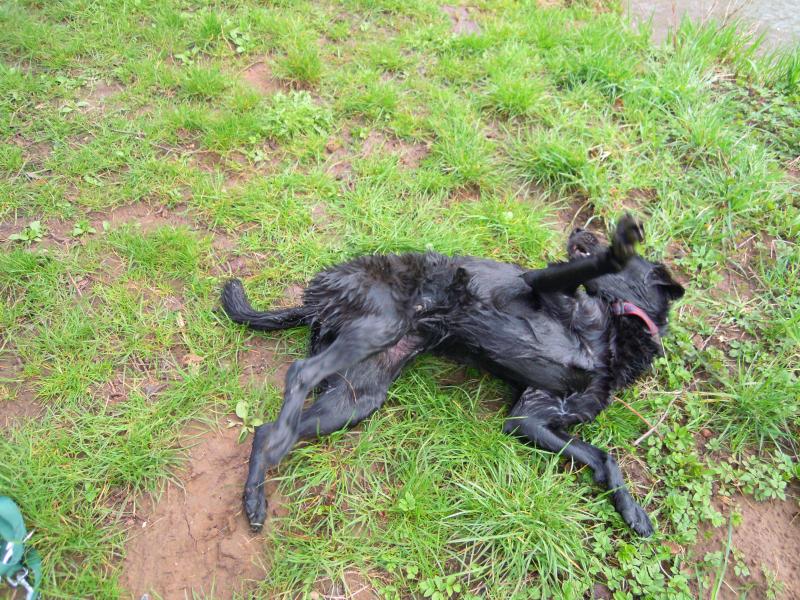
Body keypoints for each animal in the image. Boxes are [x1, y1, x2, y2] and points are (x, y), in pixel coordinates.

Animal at [221, 215, 684, 536]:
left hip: (355, 397)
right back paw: (275, 453)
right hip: (381, 323)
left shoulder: (531, 418)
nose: (579, 230)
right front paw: (621, 246)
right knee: (298, 375)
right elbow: (587, 268)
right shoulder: (543, 282)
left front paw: (632, 512)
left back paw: (255, 498)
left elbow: (603, 457)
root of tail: (315, 300)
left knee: (266, 429)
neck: (616, 333)